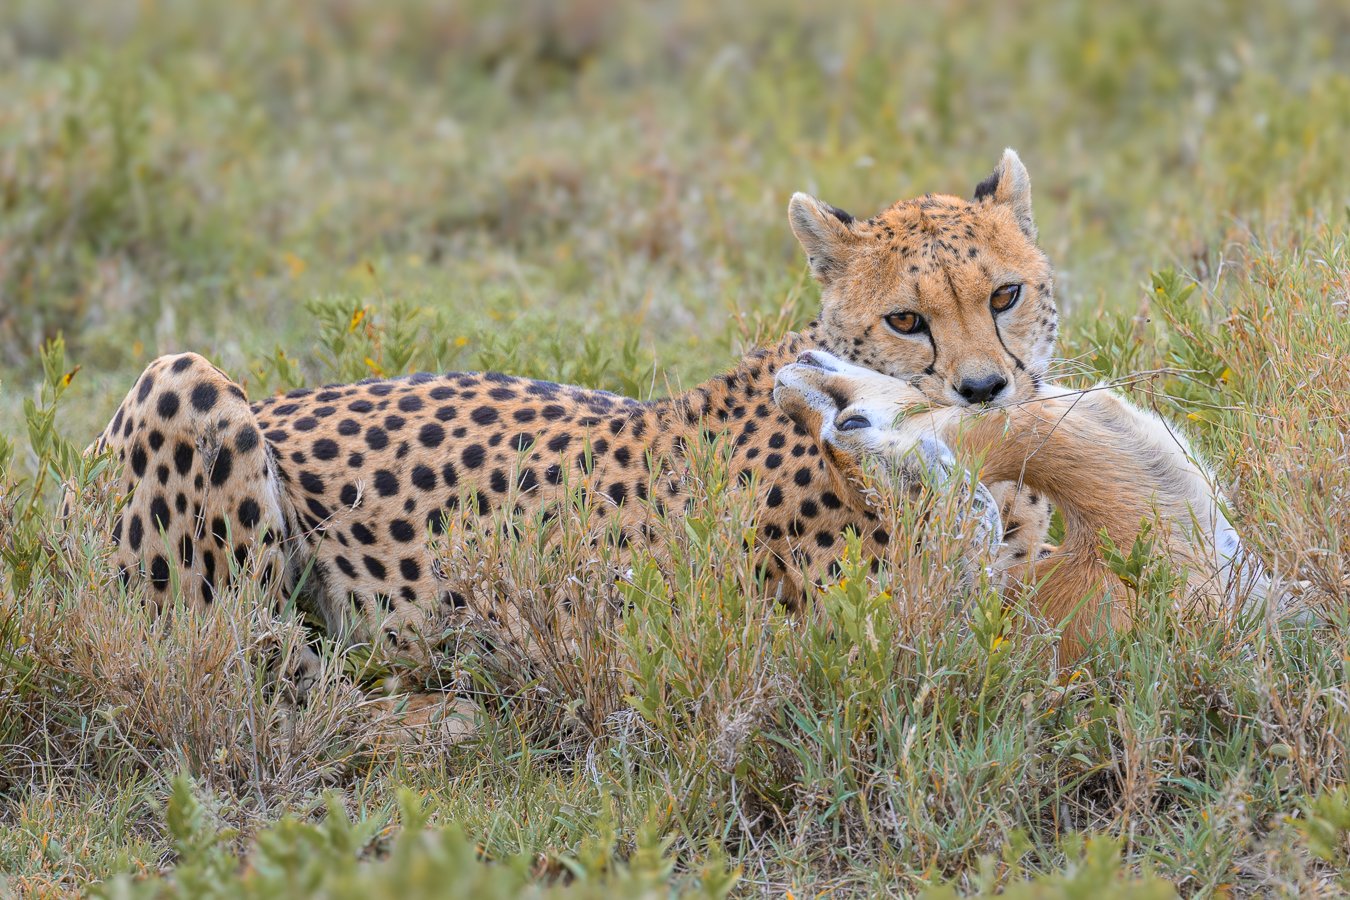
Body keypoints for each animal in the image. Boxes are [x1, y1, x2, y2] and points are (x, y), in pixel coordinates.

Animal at [72, 149, 1069, 698]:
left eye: (1004, 295)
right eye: (907, 320)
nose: (985, 389)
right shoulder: (860, 645)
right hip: (182, 379)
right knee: (251, 661)